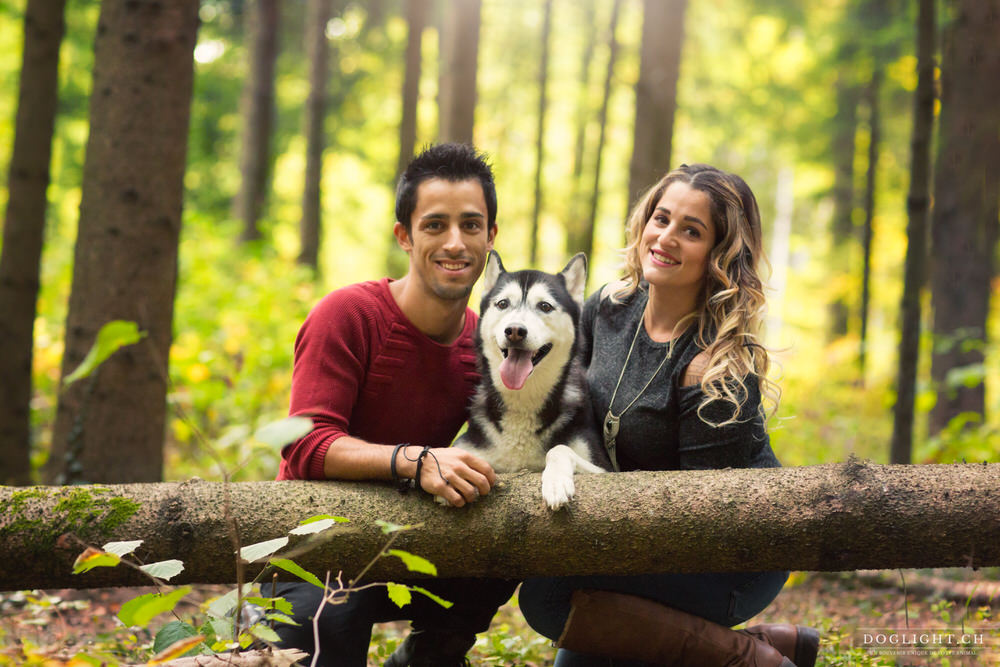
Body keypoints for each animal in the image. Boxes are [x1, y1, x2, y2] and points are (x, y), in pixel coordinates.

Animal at [454, 252, 608, 512]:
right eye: (502, 304)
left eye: (545, 306)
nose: (515, 330)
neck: (522, 400)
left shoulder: (607, 469)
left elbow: (559, 449)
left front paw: (555, 483)